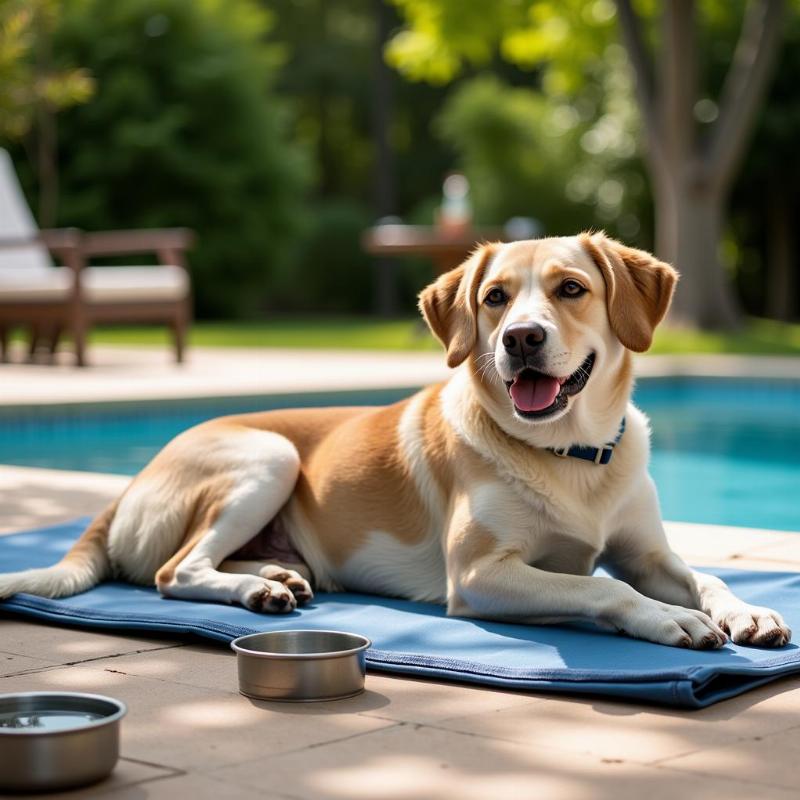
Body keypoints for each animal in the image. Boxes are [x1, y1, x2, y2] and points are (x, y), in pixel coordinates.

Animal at [0, 233, 788, 648]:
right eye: (494, 297)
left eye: (571, 289)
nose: (520, 339)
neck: (570, 456)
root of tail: (132, 480)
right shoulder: (478, 576)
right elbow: (598, 588)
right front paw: (669, 618)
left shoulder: (646, 552)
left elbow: (707, 575)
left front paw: (744, 609)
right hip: (269, 455)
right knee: (174, 571)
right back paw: (260, 590)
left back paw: (277, 578)